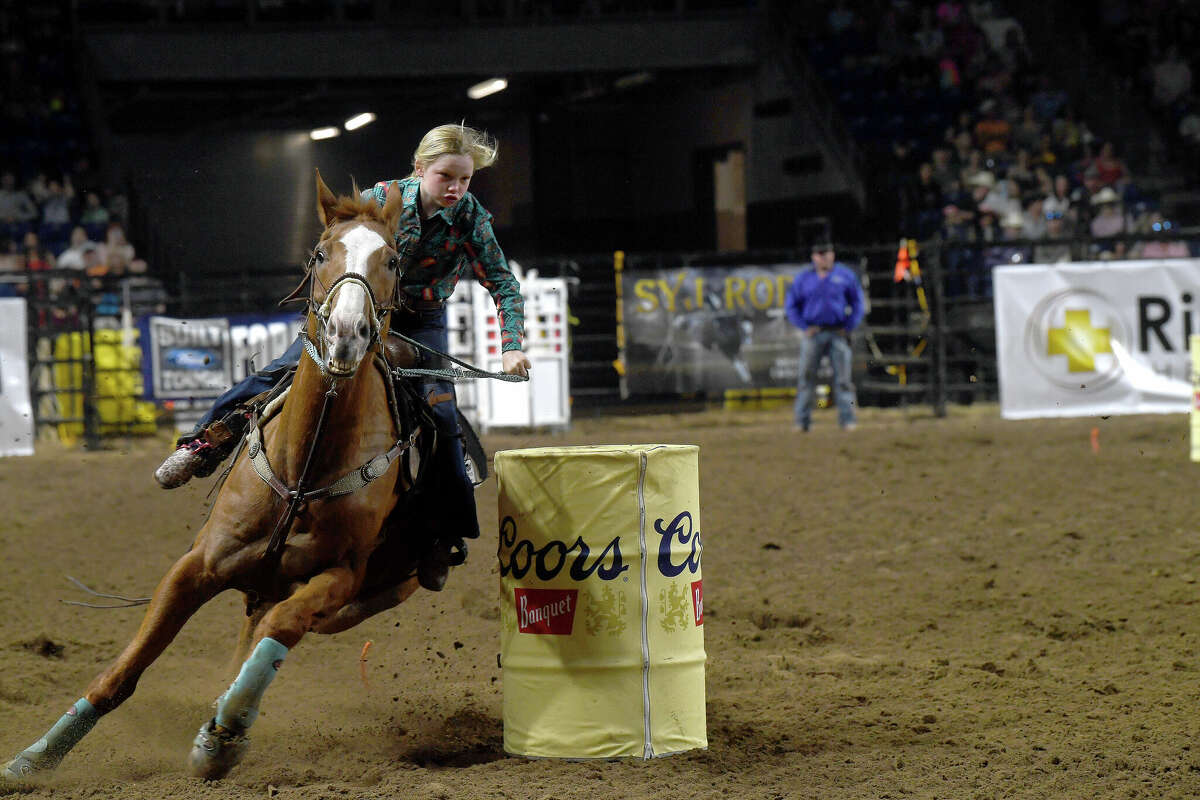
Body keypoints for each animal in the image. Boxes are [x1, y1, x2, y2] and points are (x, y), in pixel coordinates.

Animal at [1, 173, 436, 782]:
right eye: (320, 253)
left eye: (393, 260)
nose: (346, 333)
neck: (305, 466)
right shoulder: (196, 566)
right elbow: (126, 668)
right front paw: (36, 757)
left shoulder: (340, 578)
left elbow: (282, 627)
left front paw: (223, 736)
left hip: (360, 602)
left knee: (266, 633)